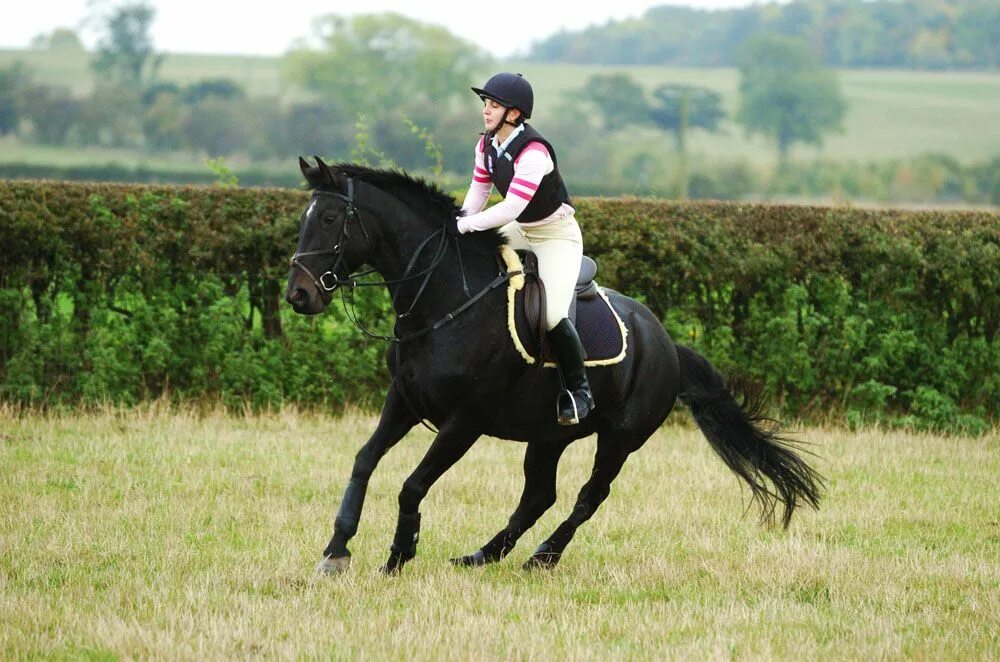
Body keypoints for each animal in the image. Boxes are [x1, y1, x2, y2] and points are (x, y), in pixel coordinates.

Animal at [284, 157, 820, 576]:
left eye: (330, 217)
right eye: (306, 218)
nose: (299, 295)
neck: (443, 300)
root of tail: (666, 341)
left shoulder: (464, 422)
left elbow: (412, 484)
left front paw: (398, 554)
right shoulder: (405, 401)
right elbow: (364, 461)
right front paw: (337, 550)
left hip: (621, 438)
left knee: (589, 495)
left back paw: (542, 556)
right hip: (548, 435)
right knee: (540, 495)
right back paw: (482, 555)